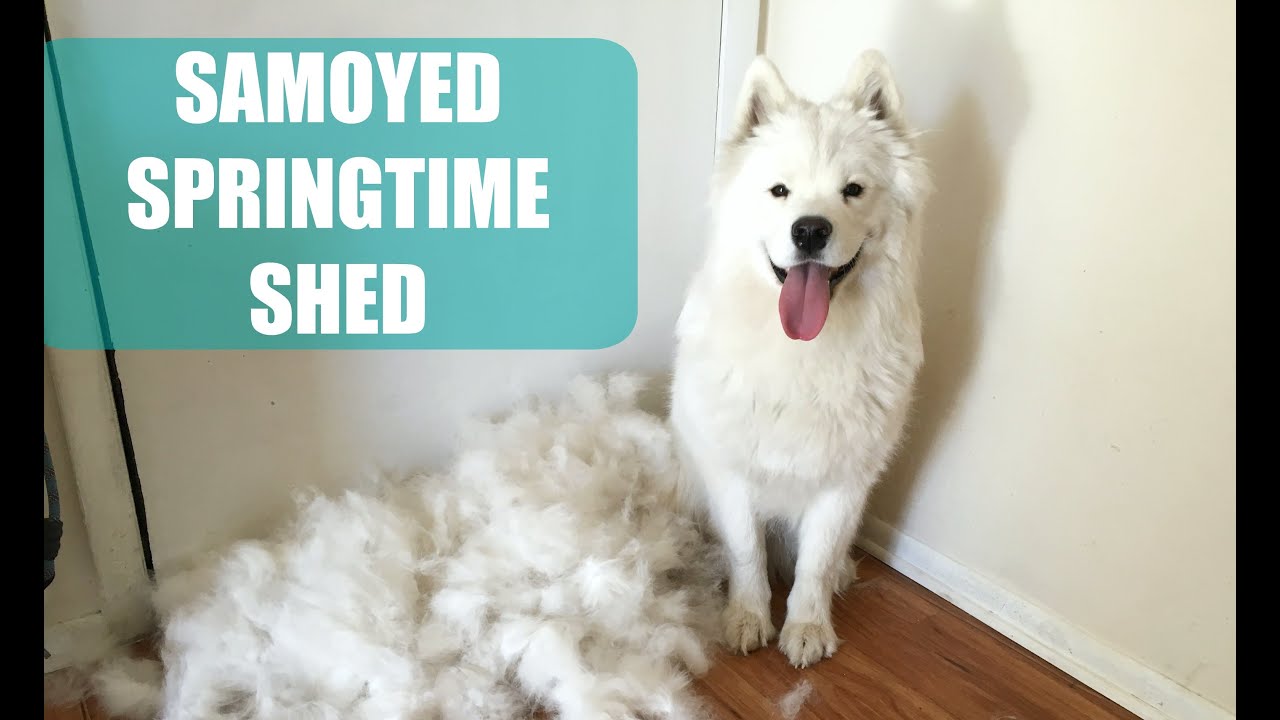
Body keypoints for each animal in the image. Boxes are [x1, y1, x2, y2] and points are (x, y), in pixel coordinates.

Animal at [669, 50, 930, 668]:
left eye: (853, 190)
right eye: (780, 191)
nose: (810, 230)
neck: (805, 350)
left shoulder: (843, 484)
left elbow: (813, 564)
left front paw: (807, 628)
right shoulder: (732, 474)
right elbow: (747, 554)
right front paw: (746, 619)